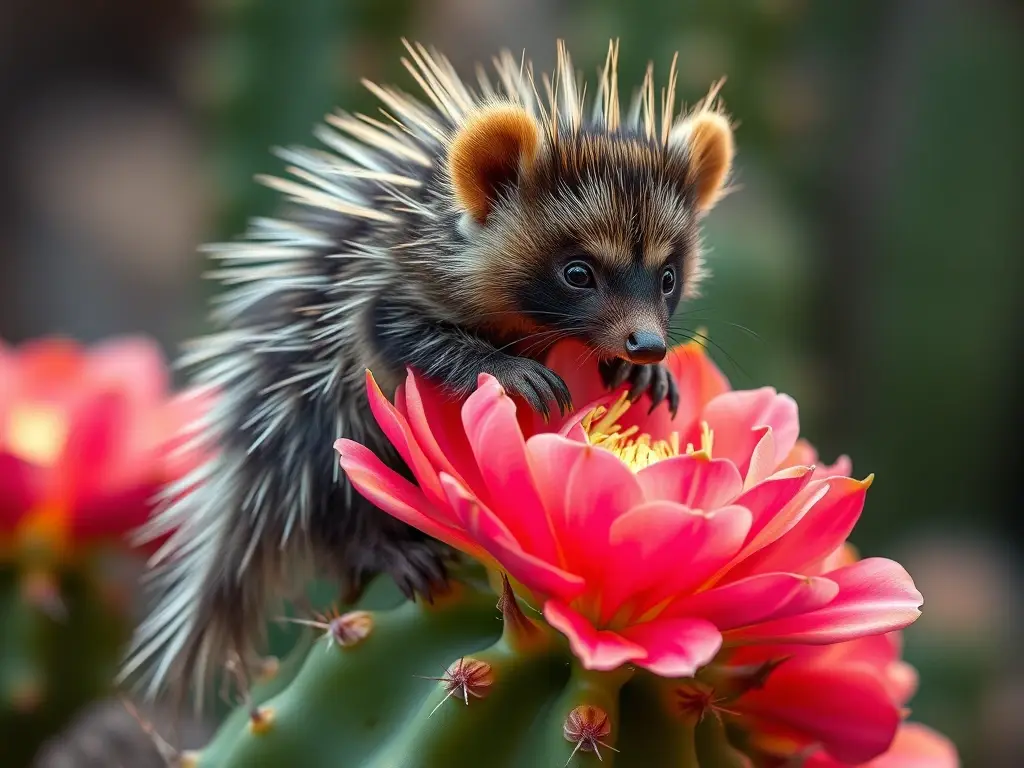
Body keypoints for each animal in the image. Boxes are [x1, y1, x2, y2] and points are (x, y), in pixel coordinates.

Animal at [121, 39, 735, 709]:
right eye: (579, 273)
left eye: (669, 277)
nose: (648, 346)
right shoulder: (381, 275)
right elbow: (393, 332)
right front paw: (503, 368)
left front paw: (634, 371)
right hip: (293, 424)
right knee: (321, 464)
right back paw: (375, 541)